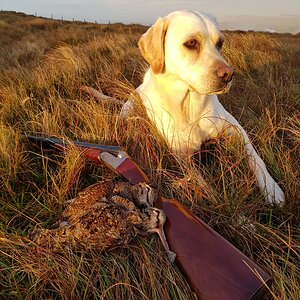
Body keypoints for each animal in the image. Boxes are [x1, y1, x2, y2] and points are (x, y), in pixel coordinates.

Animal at [121, 9, 284, 206]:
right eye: (191, 43)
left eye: (220, 43)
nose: (229, 75)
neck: (192, 107)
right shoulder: (181, 156)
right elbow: (201, 184)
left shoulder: (236, 129)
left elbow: (256, 159)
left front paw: (272, 189)